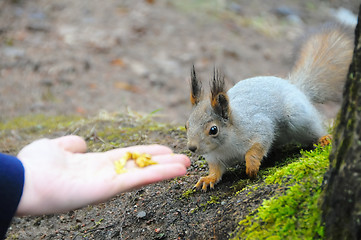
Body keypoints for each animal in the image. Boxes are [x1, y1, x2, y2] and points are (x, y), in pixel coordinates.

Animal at [186, 23, 352, 190]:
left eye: (213, 129)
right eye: (187, 125)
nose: (191, 147)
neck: (224, 146)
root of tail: (294, 86)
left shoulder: (259, 126)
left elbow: (259, 145)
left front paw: (252, 165)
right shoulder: (215, 158)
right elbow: (216, 170)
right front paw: (208, 179)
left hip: (298, 117)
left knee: (314, 129)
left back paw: (323, 138)